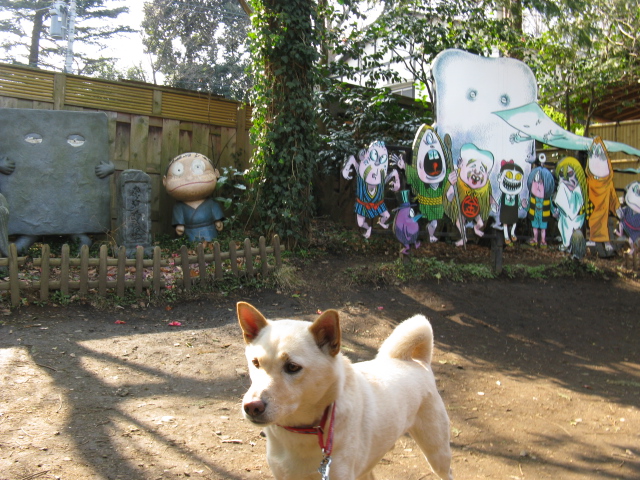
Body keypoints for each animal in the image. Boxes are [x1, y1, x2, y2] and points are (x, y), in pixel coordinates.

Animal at [237, 302, 453, 480]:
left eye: (292, 367)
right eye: (255, 363)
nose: (252, 407)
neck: (307, 429)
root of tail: (417, 362)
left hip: (438, 454)